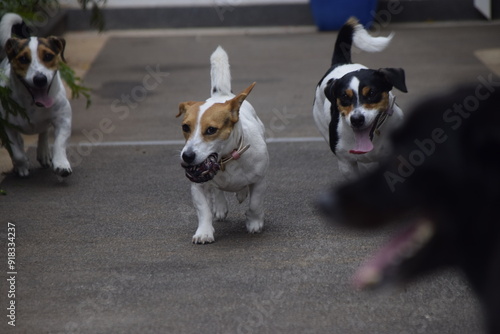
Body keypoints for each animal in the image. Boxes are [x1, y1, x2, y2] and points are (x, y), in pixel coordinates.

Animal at [0, 13, 72, 177]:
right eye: (23, 59)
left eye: (48, 56)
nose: (40, 79)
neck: (32, 103)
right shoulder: (6, 126)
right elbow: (16, 152)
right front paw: (22, 165)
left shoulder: (63, 118)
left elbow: (59, 142)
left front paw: (61, 164)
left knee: (43, 132)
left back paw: (44, 152)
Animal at [177, 45, 270, 244]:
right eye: (185, 127)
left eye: (211, 130)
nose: (187, 156)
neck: (226, 161)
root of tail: (222, 95)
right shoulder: (197, 187)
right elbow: (203, 210)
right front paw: (204, 232)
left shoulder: (259, 180)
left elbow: (255, 203)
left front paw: (254, 222)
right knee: (217, 191)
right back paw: (220, 206)